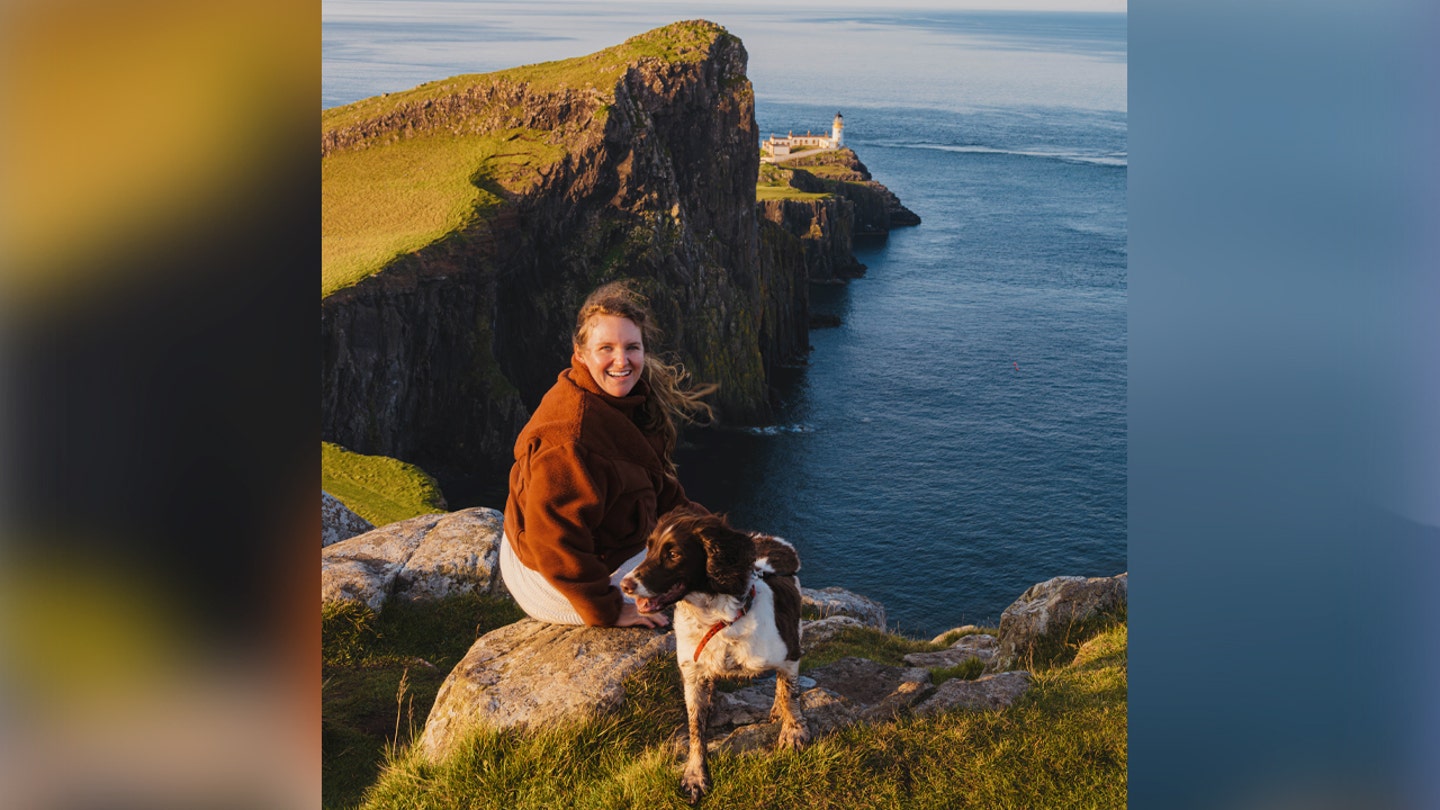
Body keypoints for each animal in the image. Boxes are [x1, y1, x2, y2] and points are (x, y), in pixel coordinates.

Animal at [619, 504, 812, 801]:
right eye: (648, 548)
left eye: (673, 554)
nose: (625, 585)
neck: (717, 621)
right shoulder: (693, 675)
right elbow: (695, 729)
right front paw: (695, 775)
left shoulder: (789, 653)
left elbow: (789, 695)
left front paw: (793, 732)